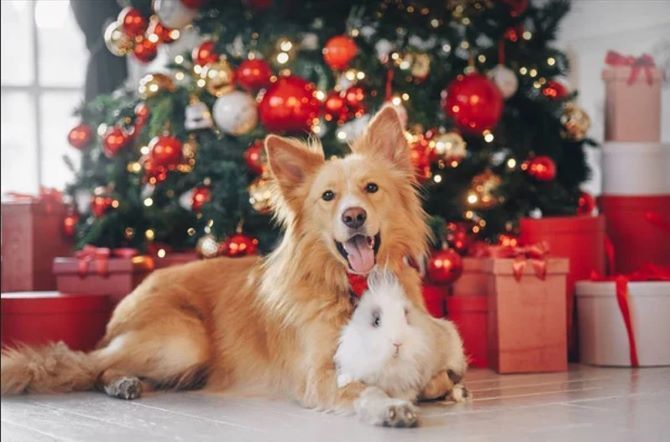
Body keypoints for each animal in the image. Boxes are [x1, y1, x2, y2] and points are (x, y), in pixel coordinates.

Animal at [334, 270, 470, 404]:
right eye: (377, 321)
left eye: (406, 317)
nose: (397, 343)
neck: (390, 363)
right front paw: (343, 381)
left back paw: (460, 393)